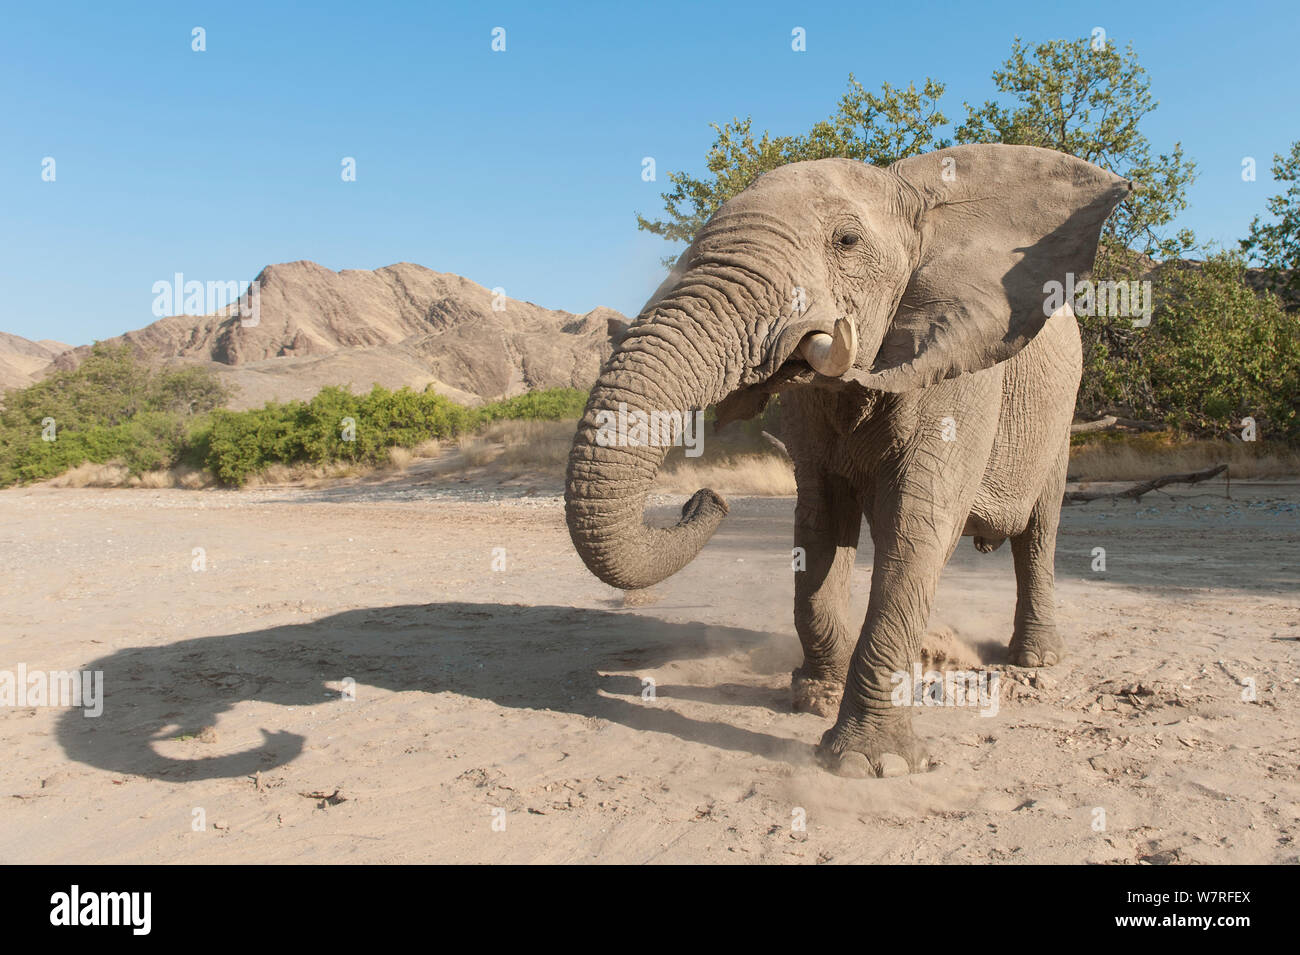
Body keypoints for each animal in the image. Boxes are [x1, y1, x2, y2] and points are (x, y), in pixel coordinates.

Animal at [564, 145, 1133, 779]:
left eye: (846, 242)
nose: (706, 498)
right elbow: (818, 524)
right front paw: (814, 698)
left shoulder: (960, 370)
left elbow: (916, 526)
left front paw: (868, 764)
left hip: (1060, 415)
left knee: (1039, 531)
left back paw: (1034, 660)